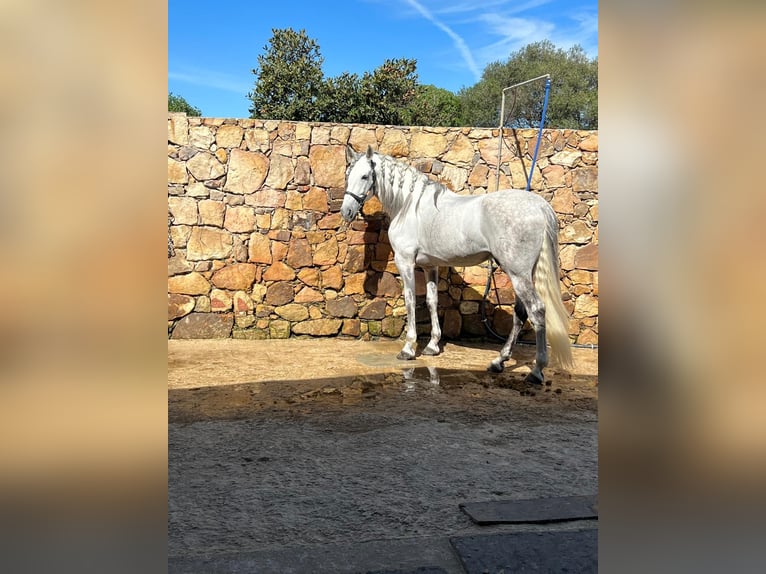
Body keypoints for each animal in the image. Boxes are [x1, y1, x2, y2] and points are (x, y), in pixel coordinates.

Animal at [341, 145, 573, 384]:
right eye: (347, 175)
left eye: (365, 176)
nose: (346, 211)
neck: (409, 206)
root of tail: (540, 206)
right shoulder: (430, 266)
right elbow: (432, 301)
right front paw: (432, 346)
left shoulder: (405, 262)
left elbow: (410, 301)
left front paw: (408, 349)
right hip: (524, 273)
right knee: (520, 313)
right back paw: (499, 361)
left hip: (518, 274)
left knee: (536, 310)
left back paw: (536, 370)